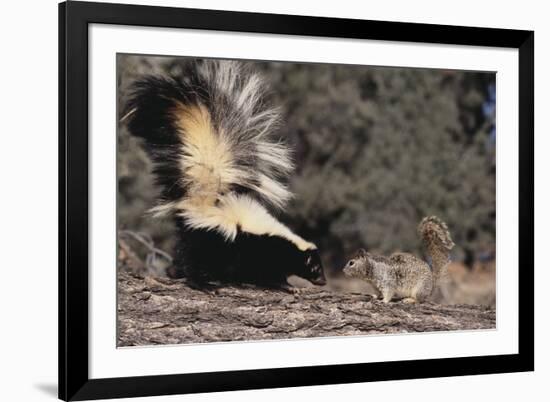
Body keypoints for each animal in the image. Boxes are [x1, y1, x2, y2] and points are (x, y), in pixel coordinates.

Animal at [124, 59, 328, 288]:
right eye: (315, 267)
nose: (323, 281)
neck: (282, 241)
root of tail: (201, 198)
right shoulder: (254, 247)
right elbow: (264, 271)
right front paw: (281, 285)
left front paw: (284, 283)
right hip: (208, 238)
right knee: (193, 259)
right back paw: (202, 283)